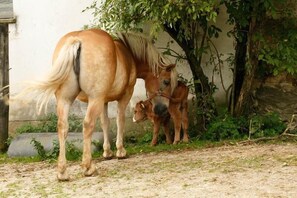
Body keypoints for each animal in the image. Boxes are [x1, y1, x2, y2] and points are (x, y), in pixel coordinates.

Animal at [16, 28, 176, 180]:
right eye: (166, 81)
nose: (163, 109)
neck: (128, 54)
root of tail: (77, 40)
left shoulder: (104, 101)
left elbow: (105, 123)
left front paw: (107, 152)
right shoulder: (123, 96)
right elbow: (120, 120)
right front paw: (120, 151)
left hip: (65, 100)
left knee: (62, 127)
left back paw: (62, 172)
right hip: (94, 99)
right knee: (87, 125)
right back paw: (88, 167)